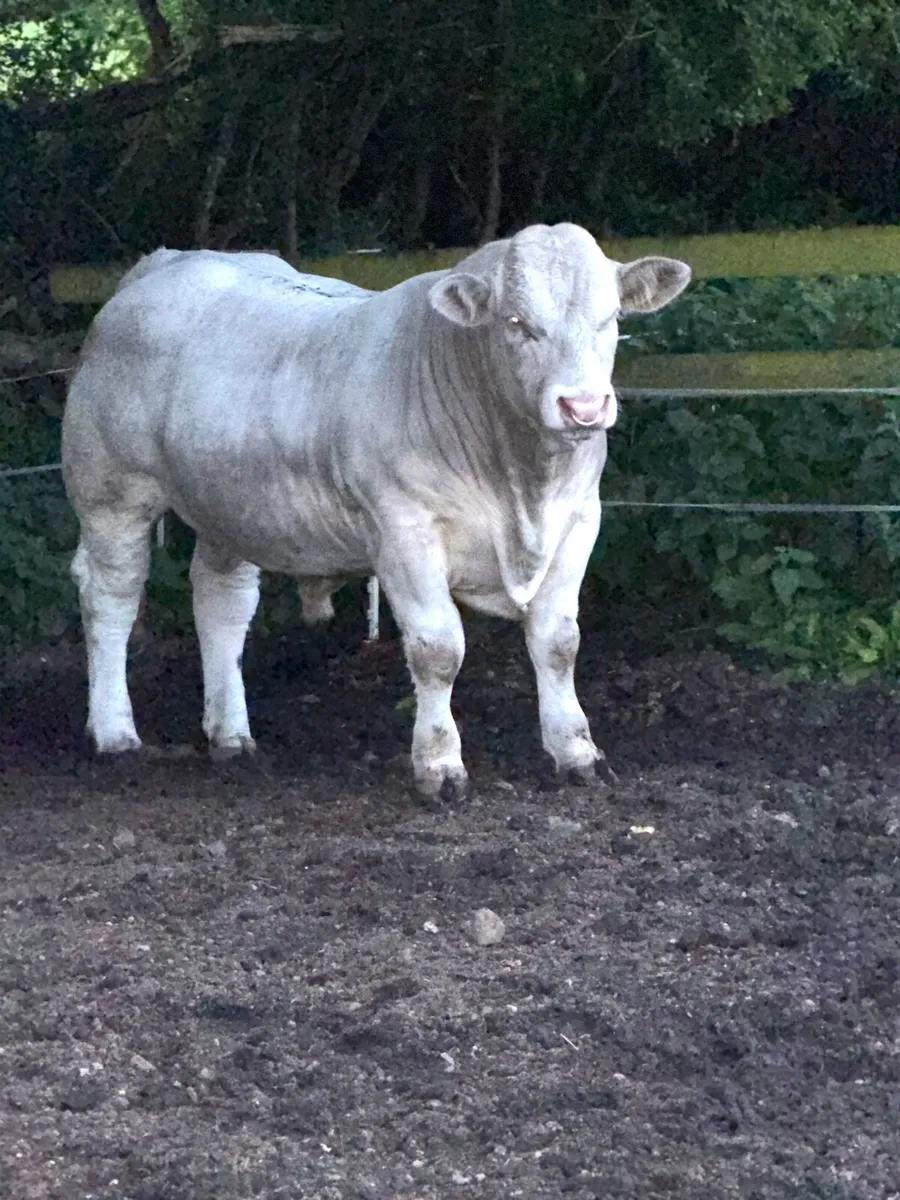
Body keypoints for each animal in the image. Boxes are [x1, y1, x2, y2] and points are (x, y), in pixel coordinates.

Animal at [61, 224, 690, 797]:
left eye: (612, 318)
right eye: (515, 323)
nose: (583, 406)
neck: (519, 483)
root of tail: (165, 263)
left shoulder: (580, 518)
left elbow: (559, 641)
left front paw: (575, 750)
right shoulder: (405, 529)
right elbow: (438, 649)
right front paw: (439, 765)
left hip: (228, 504)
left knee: (221, 601)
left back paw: (231, 734)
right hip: (111, 491)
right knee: (111, 598)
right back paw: (115, 733)